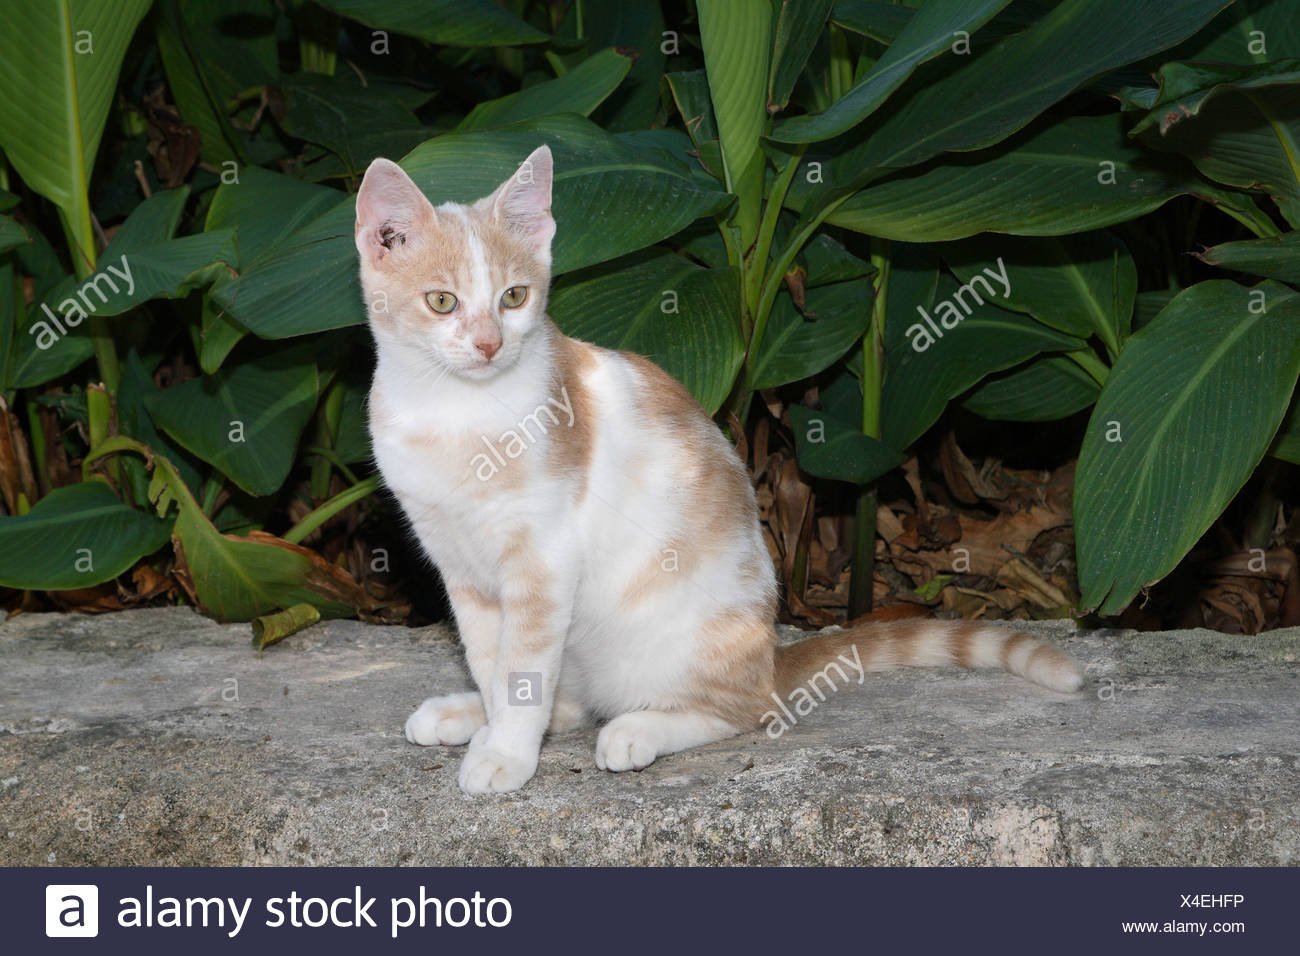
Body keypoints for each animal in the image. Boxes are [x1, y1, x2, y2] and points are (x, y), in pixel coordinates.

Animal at [353, 147, 1076, 790]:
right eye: (442, 302)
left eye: (513, 297)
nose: (488, 344)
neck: (454, 411)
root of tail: (770, 654)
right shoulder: (462, 567)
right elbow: (492, 662)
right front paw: (492, 720)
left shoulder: (542, 562)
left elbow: (522, 671)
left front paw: (505, 751)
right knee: (571, 699)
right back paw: (465, 713)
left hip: (672, 641)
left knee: (743, 708)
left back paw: (640, 729)